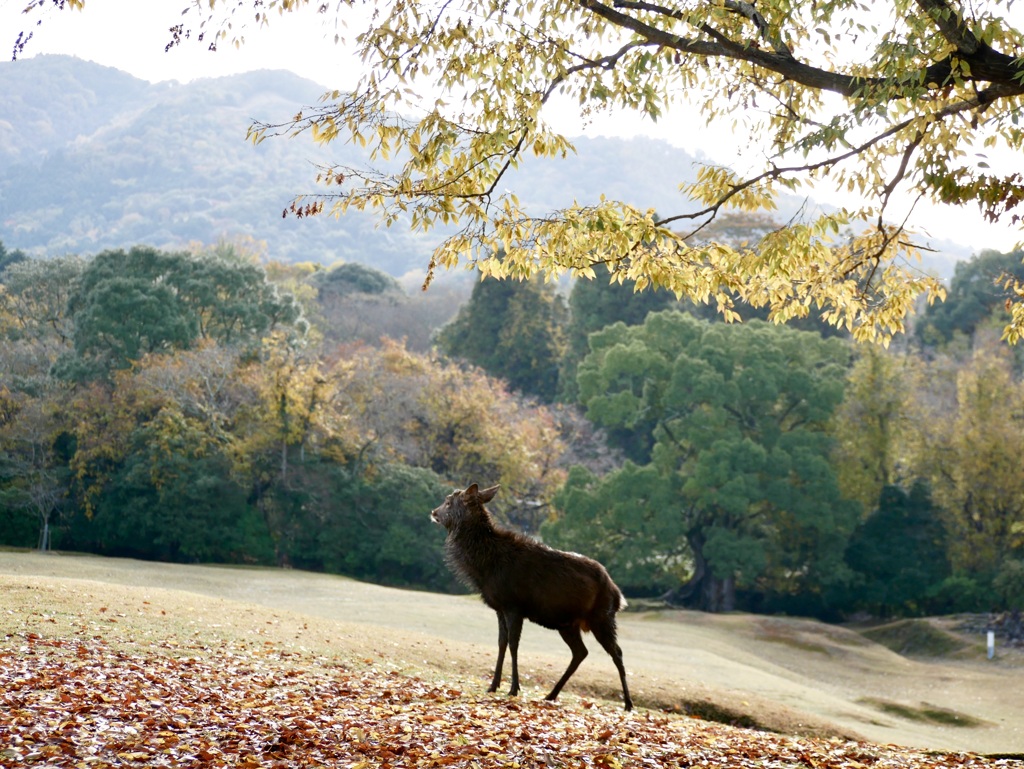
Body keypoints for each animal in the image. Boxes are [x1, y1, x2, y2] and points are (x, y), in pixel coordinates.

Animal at [425, 483, 630, 712]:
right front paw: (493, 685)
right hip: (567, 623)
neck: (484, 568)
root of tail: (619, 595)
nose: (433, 512)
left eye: (448, 502)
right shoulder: (499, 607)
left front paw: (514, 688)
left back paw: (628, 704)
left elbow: (514, 644)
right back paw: (551, 695)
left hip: (602, 616)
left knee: (617, 652)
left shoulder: (515, 606)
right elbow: (501, 642)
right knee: (581, 652)